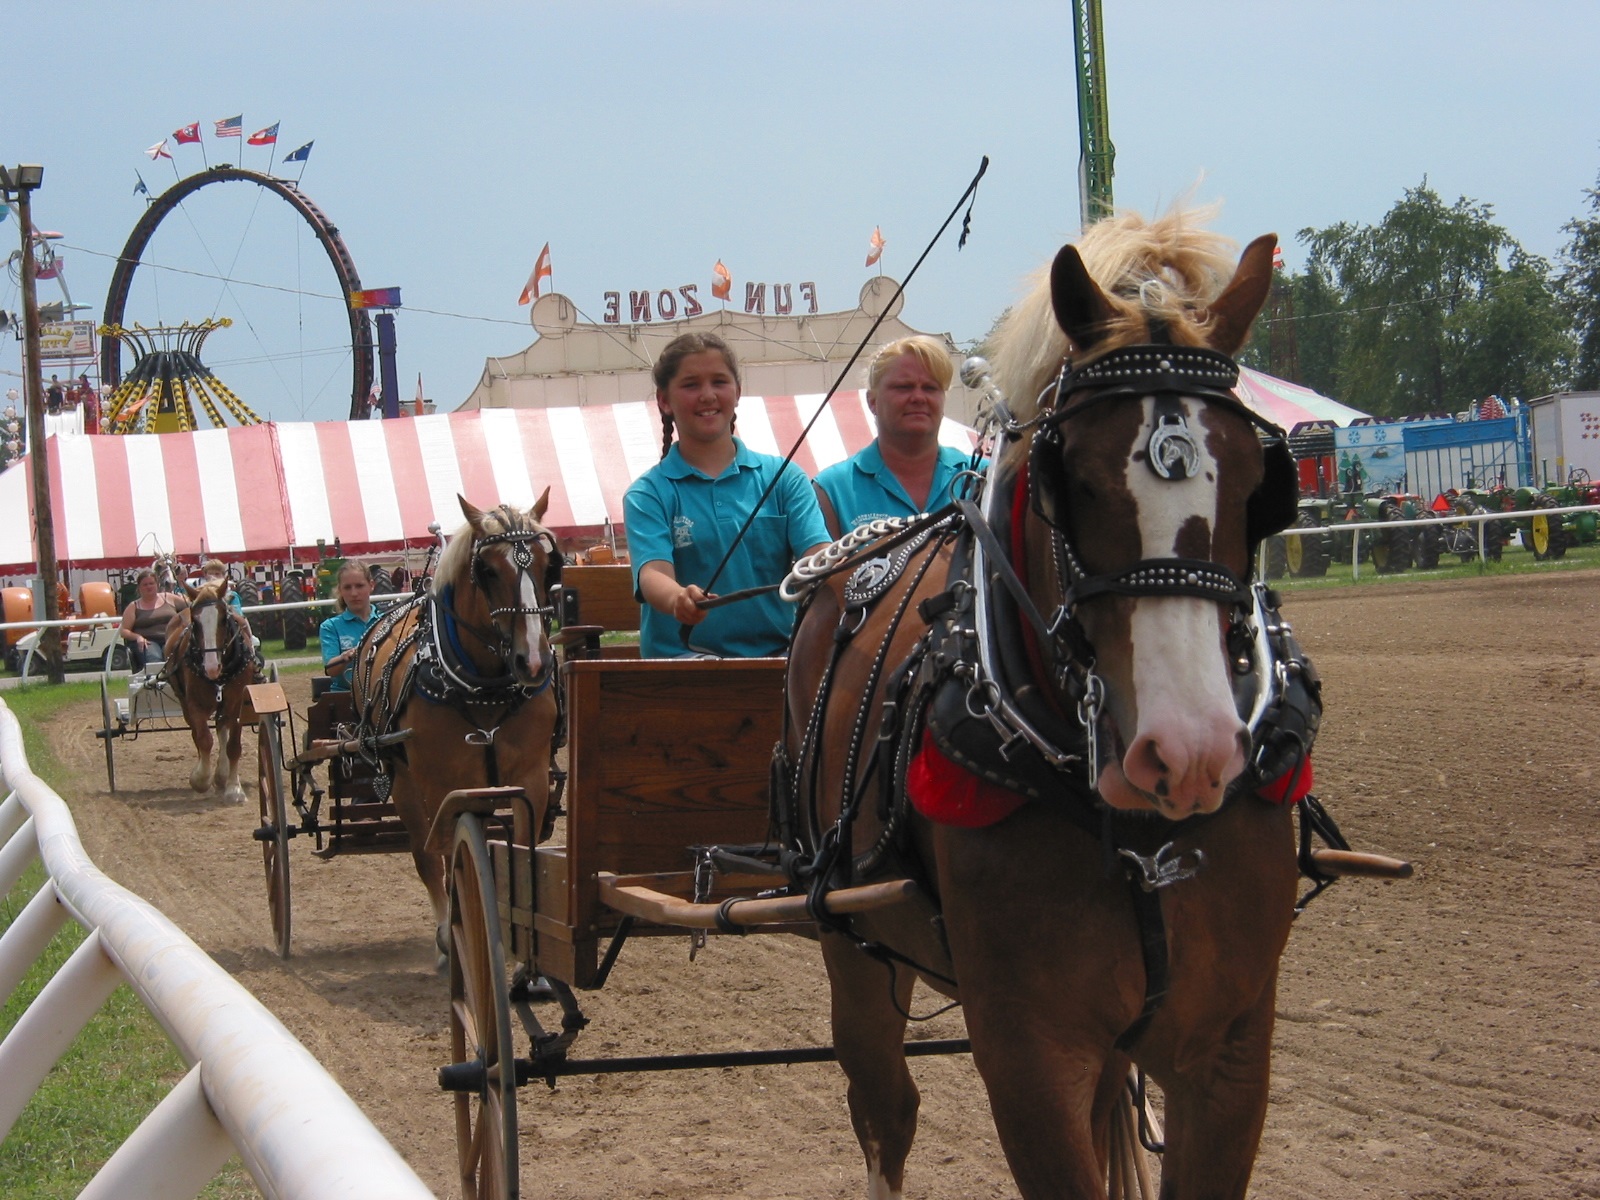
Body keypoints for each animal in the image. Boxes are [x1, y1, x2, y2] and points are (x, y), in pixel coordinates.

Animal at [166, 579, 256, 803]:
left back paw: (222, 775)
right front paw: (200, 779)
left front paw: (234, 788)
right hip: (184, 702)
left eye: (224, 619)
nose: (211, 667)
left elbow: (233, 746)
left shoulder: (237, 703)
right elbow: (204, 740)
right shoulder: (195, 705)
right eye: (195, 622)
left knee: (222, 729)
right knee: (197, 734)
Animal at [350, 492, 563, 966]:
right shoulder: (440, 786)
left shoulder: (532, 781)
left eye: (549, 564)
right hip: (403, 780)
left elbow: (520, 857)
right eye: (488, 570)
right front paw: (458, 935)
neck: (485, 688)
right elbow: (447, 857)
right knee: (426, 855)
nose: (533, 662)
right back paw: (447, 937)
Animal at [780, 211, 1305, 1196]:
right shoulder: (1028, 1052)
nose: (1190, 751)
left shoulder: (1228, 1047)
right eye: (1076, 481)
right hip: (852, 947)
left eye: (1261, 485)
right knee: (884, 1116)